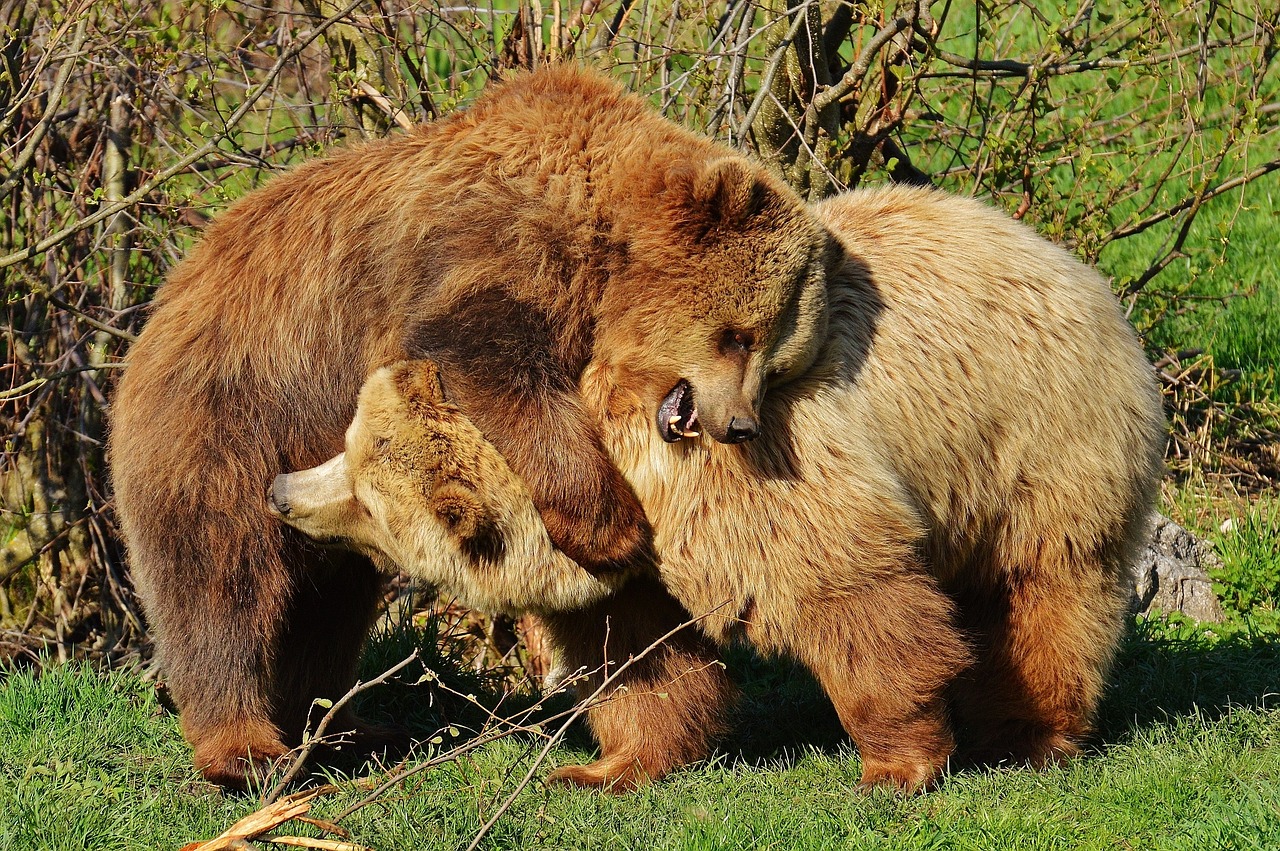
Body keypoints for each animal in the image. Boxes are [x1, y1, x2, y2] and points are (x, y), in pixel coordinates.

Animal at [107, 63, 829, 788]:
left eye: (775, 357)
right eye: (737, 335)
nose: (738, 424)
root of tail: (154, 310)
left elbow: (624, 625)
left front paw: (645, 734)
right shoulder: (488, 255)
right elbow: (488, 365)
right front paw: (613, 527)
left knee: (329, 604)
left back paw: (348, 728)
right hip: (233, 417)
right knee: (220, 585)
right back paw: (246, 747)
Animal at [275, 184, 1167, 788]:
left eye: (363, 493)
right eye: (346, 446)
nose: (281, 490)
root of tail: (1066, 259)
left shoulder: (746, 474)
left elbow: (850, 594)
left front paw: (897, 763)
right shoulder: (633, 555)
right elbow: (637, 657)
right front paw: (603, 767)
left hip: (1038, 430)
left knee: (1045, 586)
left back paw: (1030, 732)